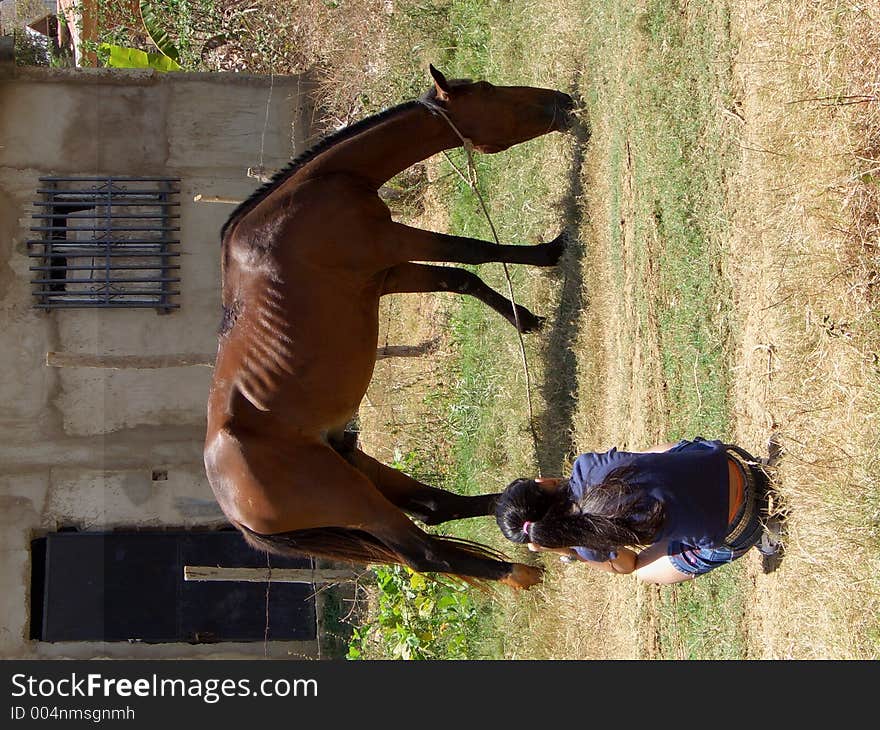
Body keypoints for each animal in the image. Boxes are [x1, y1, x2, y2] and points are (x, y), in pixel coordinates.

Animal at [203, 64, 576, 584]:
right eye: (486, 91)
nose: (562, 101)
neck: (317, 190)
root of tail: (238, 514)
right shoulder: (393, 242)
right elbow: (473, 251)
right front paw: (549, 252)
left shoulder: (386, 274)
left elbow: (460, 278)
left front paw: (523, 318)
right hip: (354, 498)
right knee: (427, 554)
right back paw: (520, 574)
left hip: (354, 460)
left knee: (437, 507)